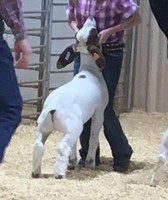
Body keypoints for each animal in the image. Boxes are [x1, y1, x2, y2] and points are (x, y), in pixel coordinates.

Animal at [31, 17, 108, 179]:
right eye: (94, 32)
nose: (91, 17)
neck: (89, 71)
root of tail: (53, 109)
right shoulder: (99, 111)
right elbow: (93, 137)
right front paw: (90, 162)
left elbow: (75, 144)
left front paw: (72, 161)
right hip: (73, 127)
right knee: (62, 146)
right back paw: (59, 174)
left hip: (45, 128)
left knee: (38, 145)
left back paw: (36, 172)